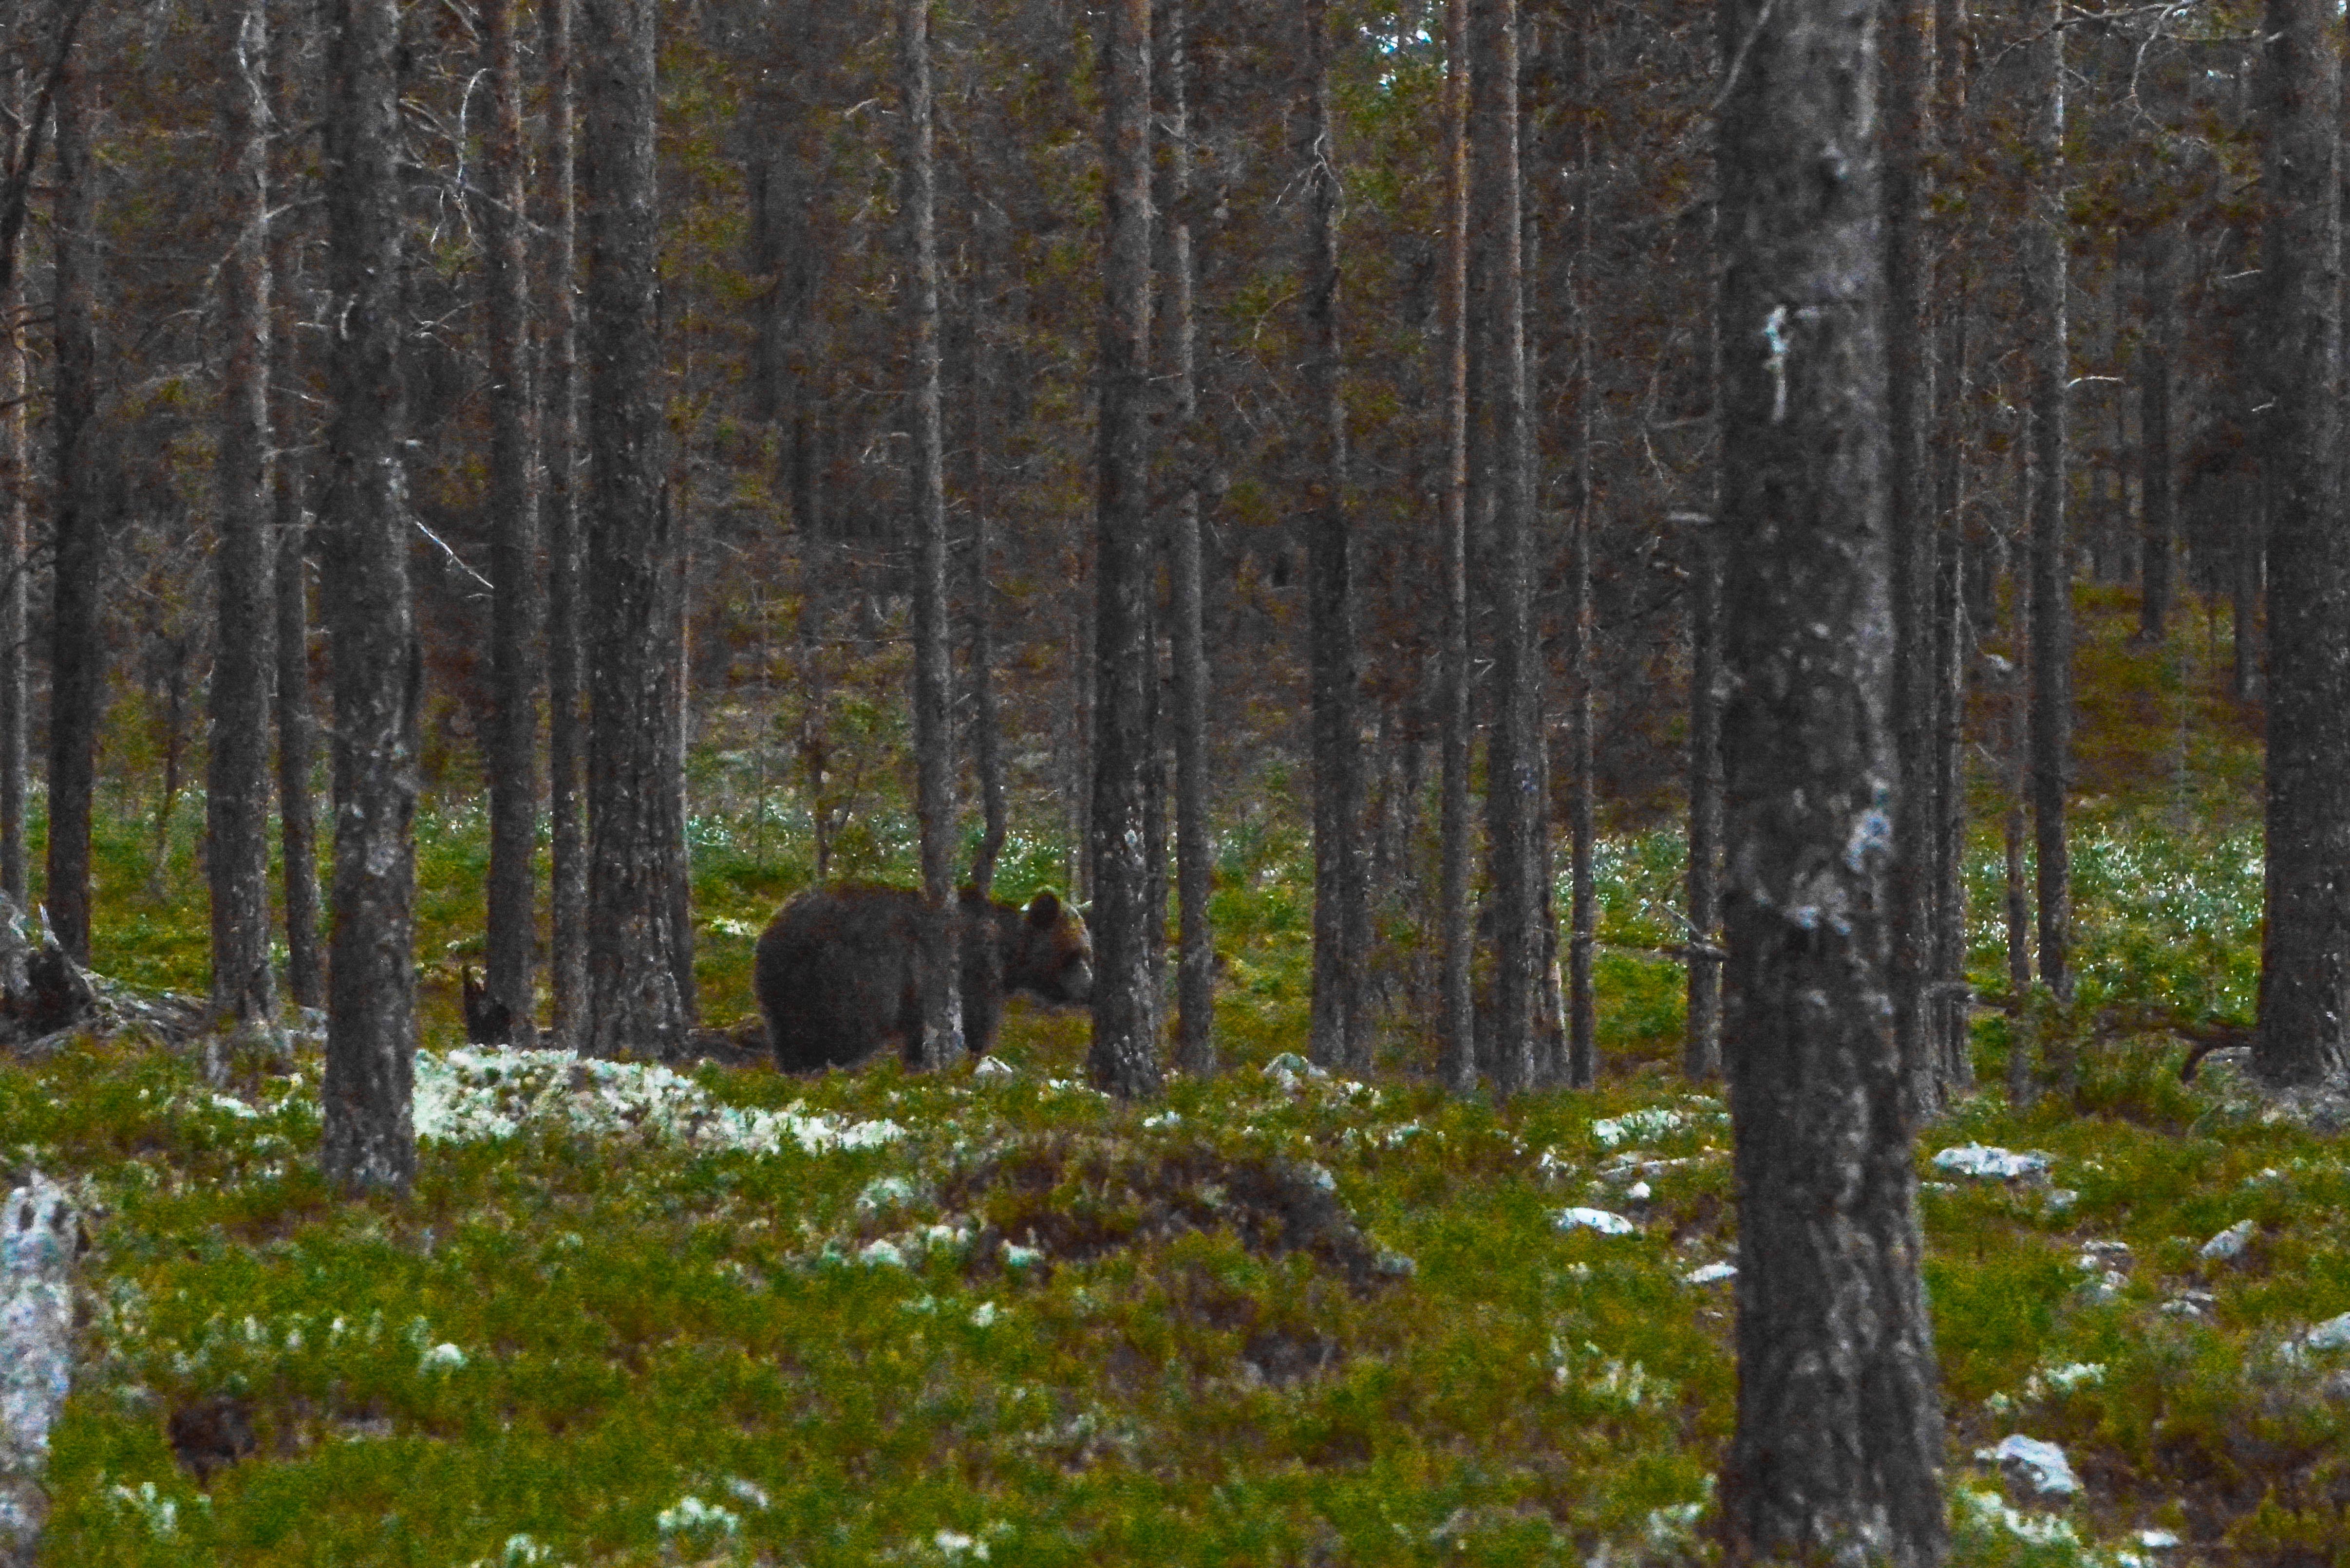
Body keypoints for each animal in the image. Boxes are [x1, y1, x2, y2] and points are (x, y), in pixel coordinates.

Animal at [754, 884, 1093, 1073]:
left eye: (1088, 953)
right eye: (1074, 954)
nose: (1088, 987)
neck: (1007, 953)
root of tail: (773, 933)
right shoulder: (971, 972)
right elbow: (975, 1023)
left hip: (784, 987)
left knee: (789, 1032)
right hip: (848, 977)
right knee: (841, 1031)